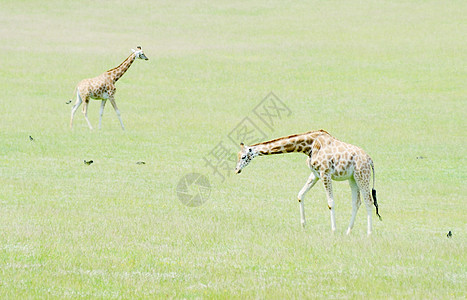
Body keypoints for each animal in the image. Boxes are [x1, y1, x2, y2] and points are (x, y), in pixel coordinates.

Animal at [236, 130, 382, 236]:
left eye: (243, 157)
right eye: (237, 156)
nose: (236, 170)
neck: (309, 146)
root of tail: (370, 160)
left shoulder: (325, 173)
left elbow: (330, 203)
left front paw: (333, 230)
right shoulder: (315, 174)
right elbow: (300, 195)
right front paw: (303, 225)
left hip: (362, 175)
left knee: (368, 201)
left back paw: (369, 233)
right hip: (353, 178)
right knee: (357, 202)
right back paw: (348, 231)